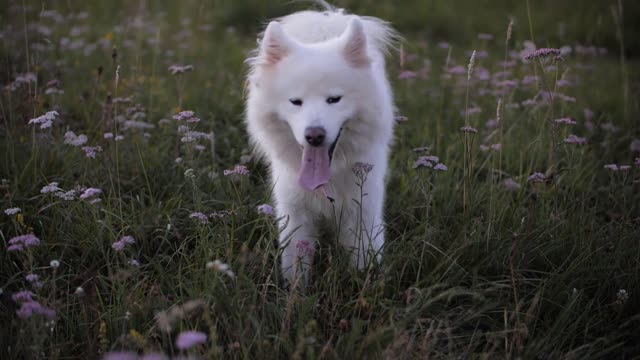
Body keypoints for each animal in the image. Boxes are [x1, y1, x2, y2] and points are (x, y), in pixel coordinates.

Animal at [245, 3, 396, 284]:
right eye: (295, 101)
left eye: (334, 99)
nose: (314, 135)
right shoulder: (295, 213)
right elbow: (296, 262)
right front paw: (295, 292)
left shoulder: (363, 212)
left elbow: (363, 260)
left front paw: (363, 284)